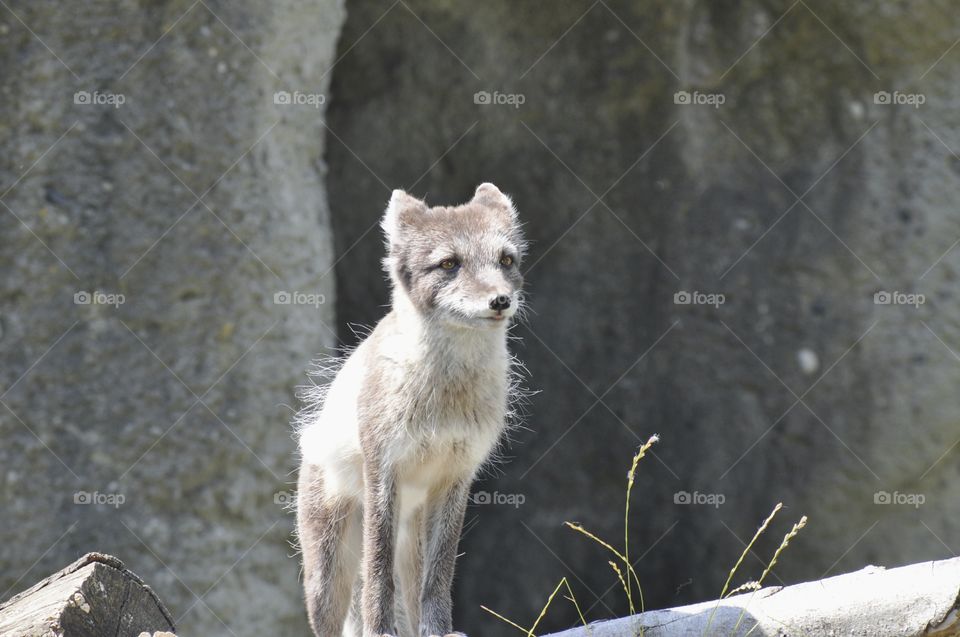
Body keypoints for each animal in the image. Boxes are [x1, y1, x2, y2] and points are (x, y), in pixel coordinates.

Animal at [295, 183, 526, 637]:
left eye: (505, 260)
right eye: (450, 264)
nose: (500, 300)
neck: (445, 398)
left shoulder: (457, 476)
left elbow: (438, 579)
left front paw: (439, 632)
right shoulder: (383, 471)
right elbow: (377, 572)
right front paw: (379, 632)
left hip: (411, 539)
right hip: (328, 578)